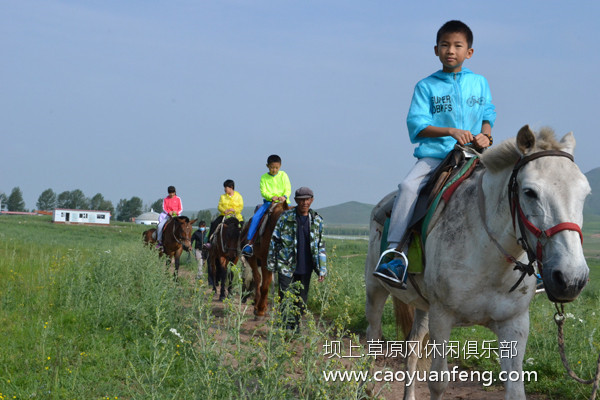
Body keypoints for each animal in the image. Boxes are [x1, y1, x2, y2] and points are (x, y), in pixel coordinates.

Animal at [366, 126, 592, 400]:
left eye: (585, 193)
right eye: (529, 192)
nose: (571, 279)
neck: (490, 261)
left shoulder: (514, 324)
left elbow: (516, 390)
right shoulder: (442, 317)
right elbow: (438, 382)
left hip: (423, 306)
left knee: (412, 347)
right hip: (376, 289)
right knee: (372, 337)